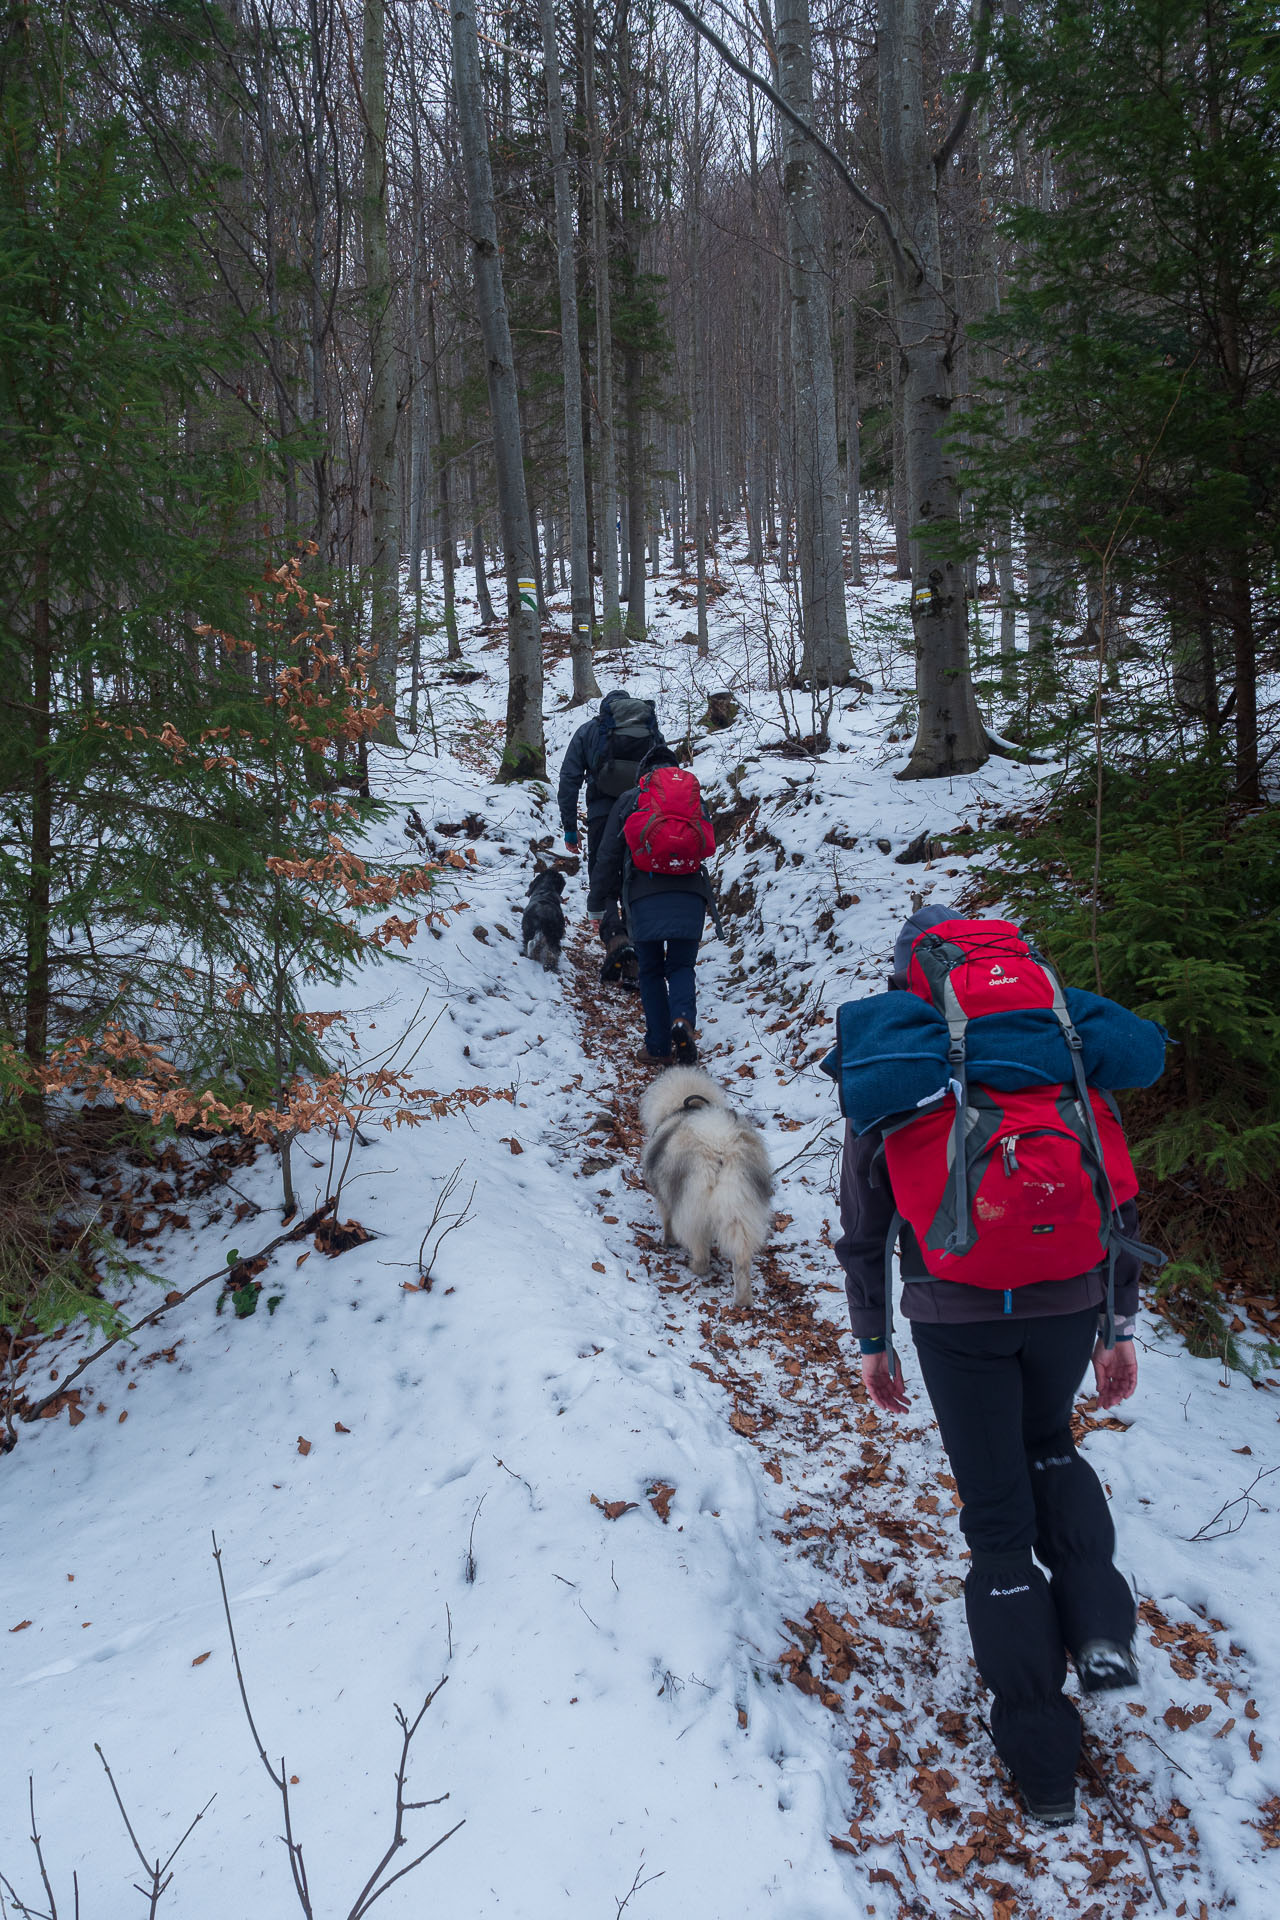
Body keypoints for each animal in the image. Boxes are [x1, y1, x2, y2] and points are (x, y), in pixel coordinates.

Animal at [637, 1059, 771, 1313]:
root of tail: (720, 1144)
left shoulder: (665, 1198)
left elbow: (666, 1221)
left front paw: (668, 1242)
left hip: (692, 1206)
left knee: (700, 1249)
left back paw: (695, 1266)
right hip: (740, 1205)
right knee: (742, 1257)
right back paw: (743, 1300)